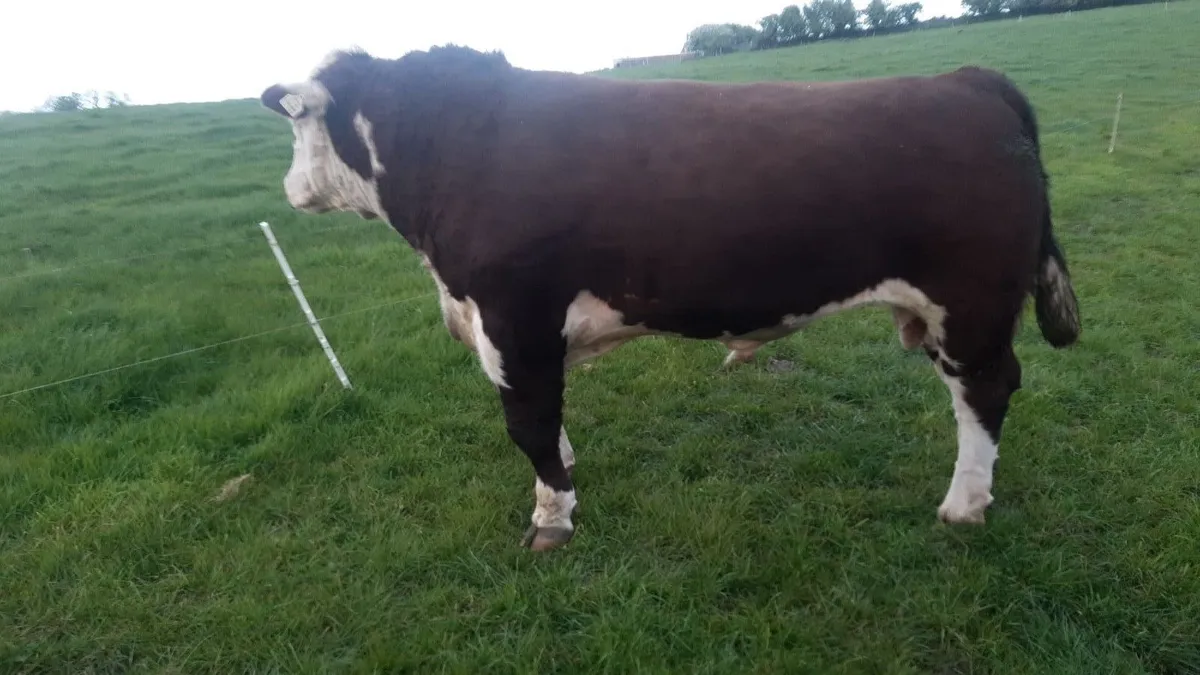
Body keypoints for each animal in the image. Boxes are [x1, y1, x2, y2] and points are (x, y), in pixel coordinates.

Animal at [259, 45, 1081, 552]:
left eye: (296, 122)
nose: (291, 189)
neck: (458, 143)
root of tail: (965, 80)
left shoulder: (513, 317)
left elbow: (528, 423)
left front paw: (552, 516)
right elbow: (549, 421)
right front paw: (566, 474)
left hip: (971, 304)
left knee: (984, 392)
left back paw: (964, 505)